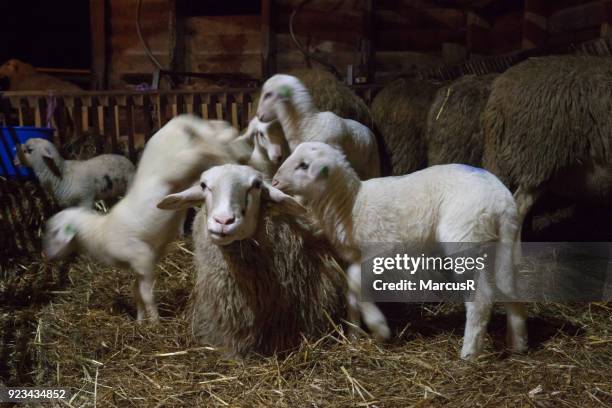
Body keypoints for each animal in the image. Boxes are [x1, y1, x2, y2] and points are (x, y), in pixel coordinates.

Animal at [41, 115, 250, 322]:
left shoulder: (143, 258)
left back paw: (234, 155)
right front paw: (140, 320)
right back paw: (231, 139)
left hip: (182, 162)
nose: (48, 257)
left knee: (211, 146)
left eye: (52, 232)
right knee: (214, 132)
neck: (99, 232)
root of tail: (177, 122)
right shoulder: (137, 267)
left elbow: (147, 295)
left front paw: (155, 321)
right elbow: (136, 292)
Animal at [274, 142, 528, 358]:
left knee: (481, 298)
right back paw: (518, 343)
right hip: (500, 245)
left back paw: (469, 353)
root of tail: (503, 202)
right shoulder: (357, 256)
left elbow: (355, 282)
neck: (350, 204)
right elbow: (351, 290)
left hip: (465, 239)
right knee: (510, 288)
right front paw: (354, 334)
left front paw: (379, 328)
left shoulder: (381, 250)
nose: (274, 181)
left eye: (303, 165)